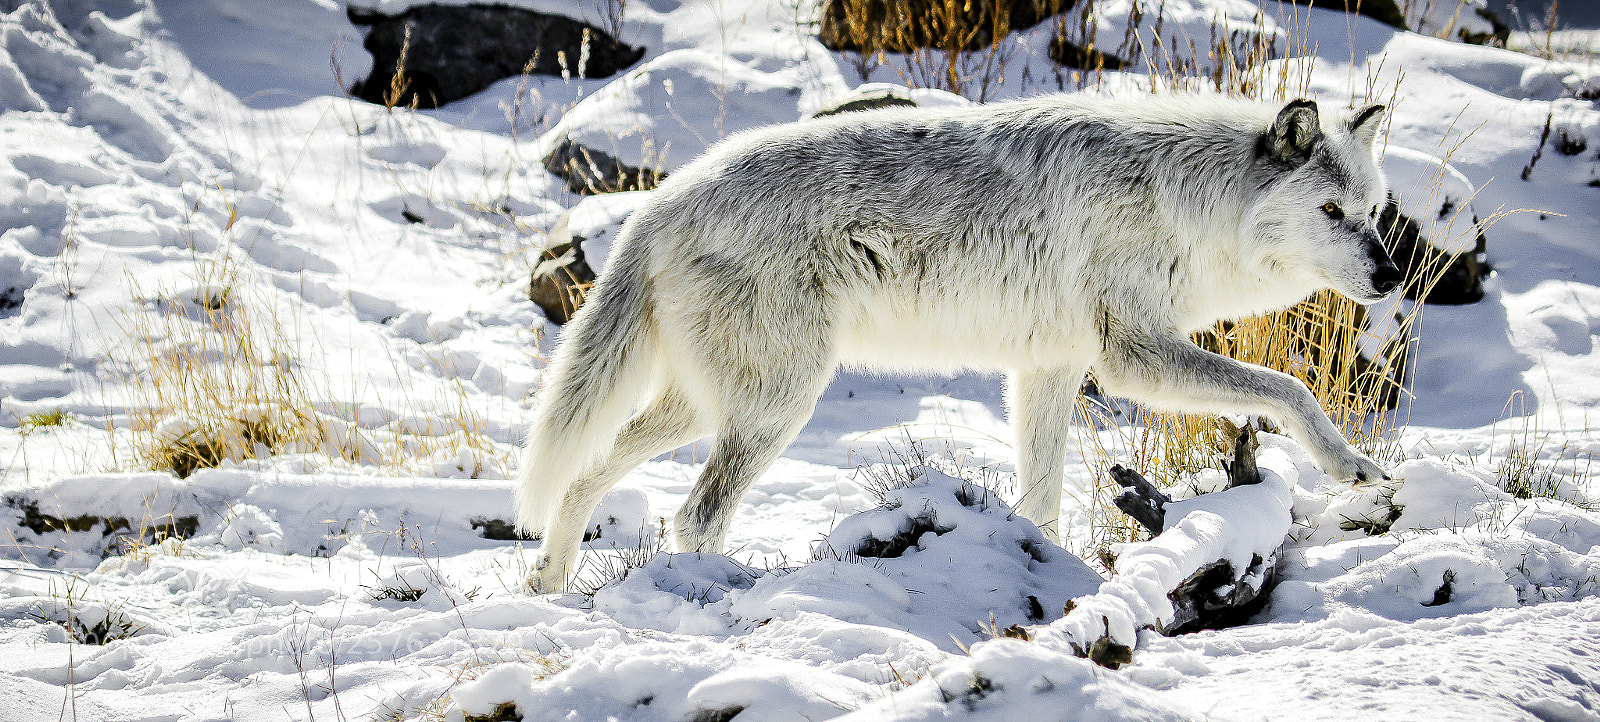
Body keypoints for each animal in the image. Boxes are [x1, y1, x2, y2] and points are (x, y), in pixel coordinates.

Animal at [515, 94, 1399, 592]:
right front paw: (1352, 466)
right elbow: (1289, 387)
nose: (1391, 275)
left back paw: (549, 583)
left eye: (1373, 211)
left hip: (709, 409)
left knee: (586, 473)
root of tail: (658, 202)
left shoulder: (1049, 370)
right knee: (694, 516)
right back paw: (719, 589)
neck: (1187, 196)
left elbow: (1040, 501)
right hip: (775, 409)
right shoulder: (1133, 357)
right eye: (1330, 213)